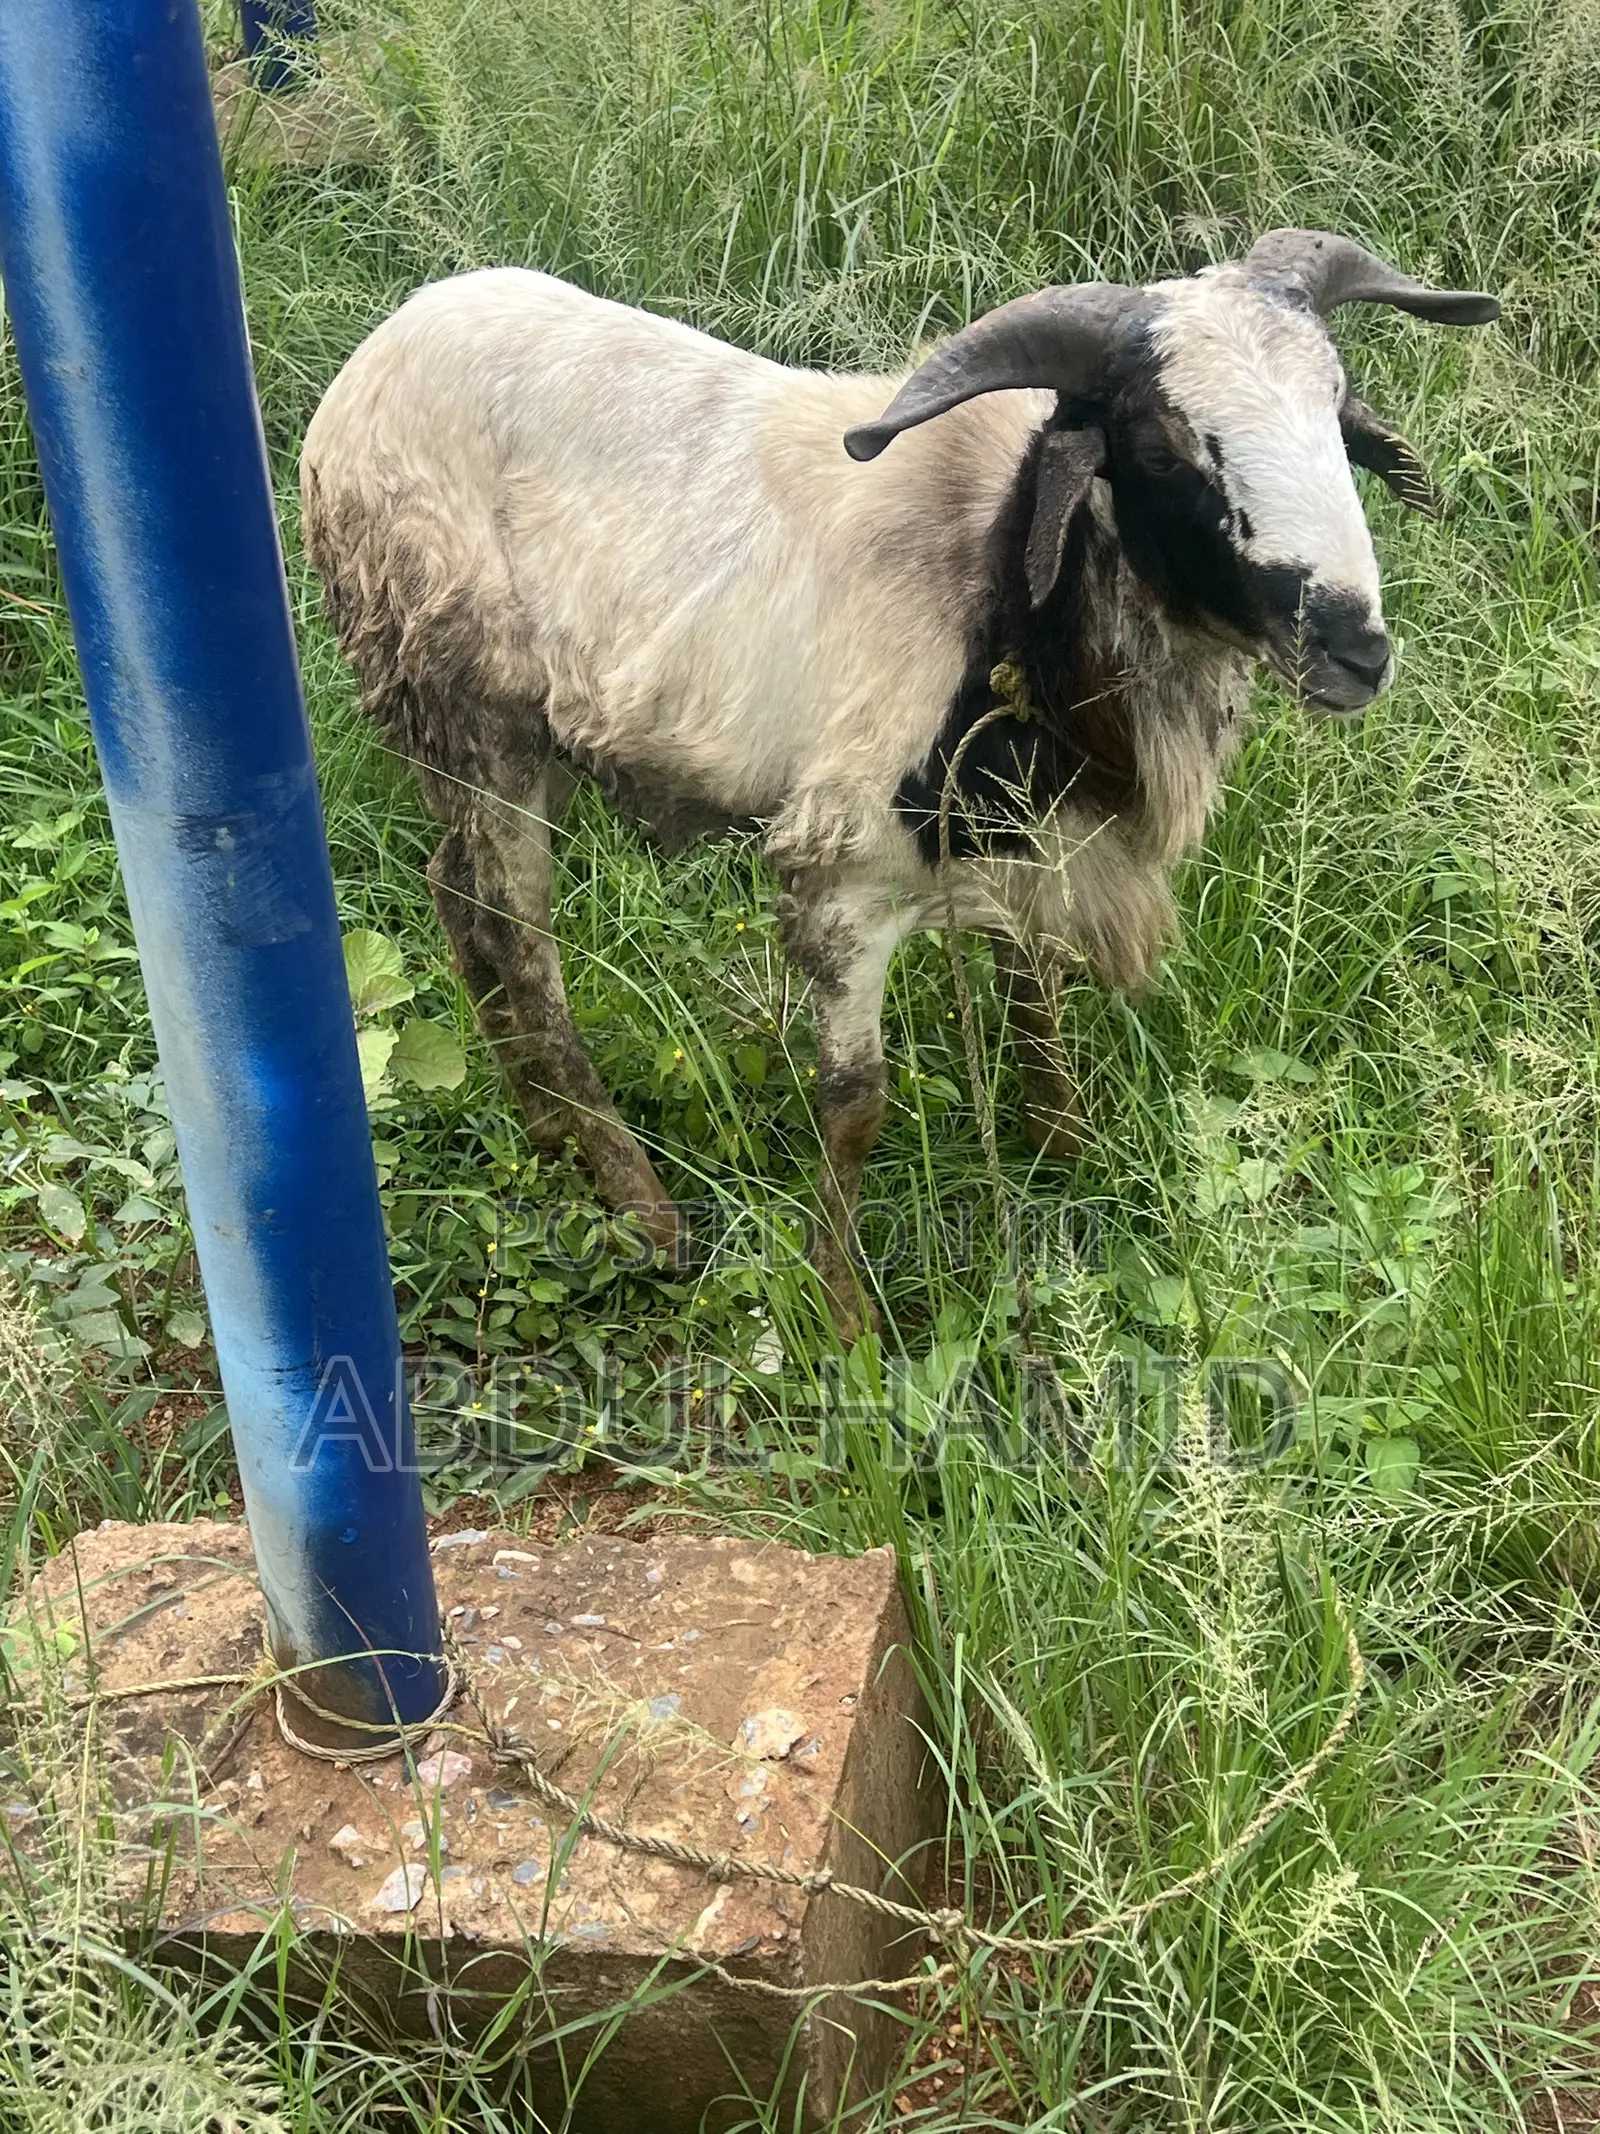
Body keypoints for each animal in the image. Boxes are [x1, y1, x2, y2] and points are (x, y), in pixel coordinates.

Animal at [300, 229, 1497, 1336]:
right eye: (1161, 447)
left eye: (1336, 405)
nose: (1354, 649)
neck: (1002, 581)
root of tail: (378, 356)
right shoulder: (843, 875)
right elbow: (855, 1104)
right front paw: (842, 1319)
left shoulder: (1022, 836)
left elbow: (1034, 1003)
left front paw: (1065, 1154)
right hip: (466, 702)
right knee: (519, 939)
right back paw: (643, 1207)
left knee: (454, 890)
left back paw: (544, 1129)